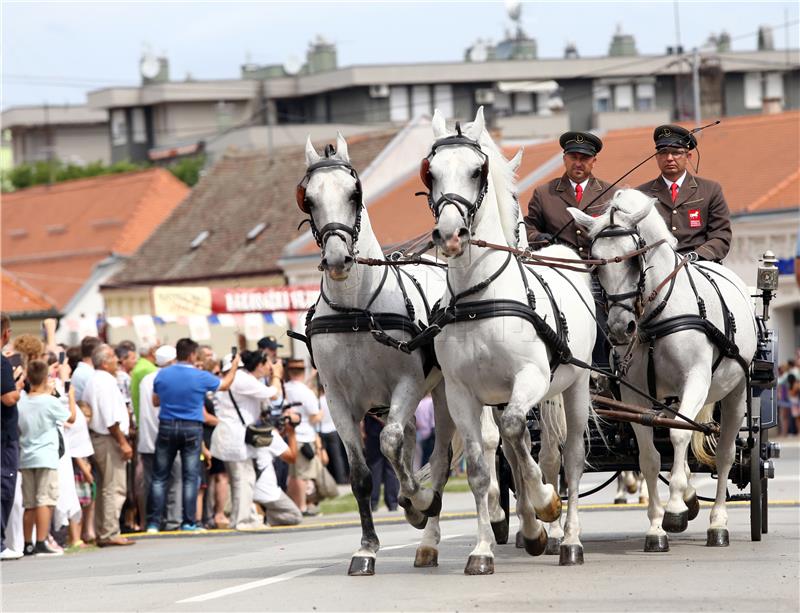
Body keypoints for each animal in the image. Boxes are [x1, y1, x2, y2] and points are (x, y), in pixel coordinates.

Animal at [296, 134, 456, 572]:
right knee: (422, 444)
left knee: (452, 453)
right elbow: (360, 474)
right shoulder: (337, 400)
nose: (337, 259)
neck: (356, 310)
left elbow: (389, 442)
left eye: (355, 193)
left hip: (447, 391)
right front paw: (366, 547)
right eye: (308, 199)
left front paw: (417, 501)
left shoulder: (407, 385)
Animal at [424, 107, 592, 572]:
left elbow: (521, 435)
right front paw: (483, 549)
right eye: (430, 172)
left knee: (570, 458)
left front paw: (546, 504)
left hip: (575, 386)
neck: (481, 298)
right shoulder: (463, 394)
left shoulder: (529, 378)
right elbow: (483, 467)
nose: (451, 235)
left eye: (477, 170)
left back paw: (569, 538)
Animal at [568, 190, 756, 548]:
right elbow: (649, 457)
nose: (620, 328)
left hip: (736, 392)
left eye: (634, 259)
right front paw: (657, 525)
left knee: (726, 453)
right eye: (594, 262)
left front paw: (675, 509)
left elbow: (680, 434)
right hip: (667, 398)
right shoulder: (634, 395)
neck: (657, 315)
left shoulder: (695, 380)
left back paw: (717, 522)